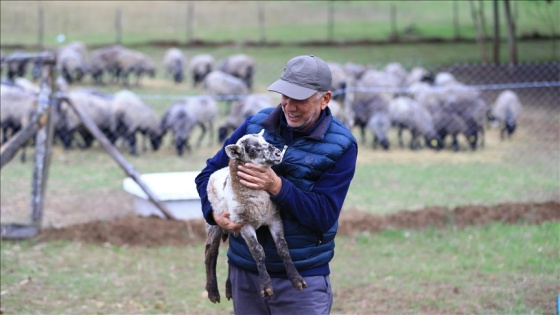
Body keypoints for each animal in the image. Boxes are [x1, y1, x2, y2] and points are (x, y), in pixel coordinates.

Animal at [203, 130, 304, 304]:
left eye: (266, 141)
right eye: (253, 148)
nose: (278, 153)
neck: (259, 199)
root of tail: (219, 171)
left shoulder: (274, 218)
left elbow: (283, 247)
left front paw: (296, 279)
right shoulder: (244, 223)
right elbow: (257, 251)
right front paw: (266, 287)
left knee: (230, 256)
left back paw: (229, 289)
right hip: (215, 224)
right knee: (211, 253)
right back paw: (213, 292)